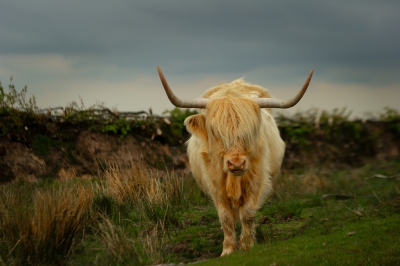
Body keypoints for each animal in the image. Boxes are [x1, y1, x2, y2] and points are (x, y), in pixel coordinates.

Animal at [156, 66, 312, 256]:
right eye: (215, 132)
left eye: (250, 130)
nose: (236, 164)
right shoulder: (215, 185)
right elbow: (226, 217)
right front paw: (228, 249)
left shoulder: (256, 181)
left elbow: (247, 213)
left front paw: (247, 245)